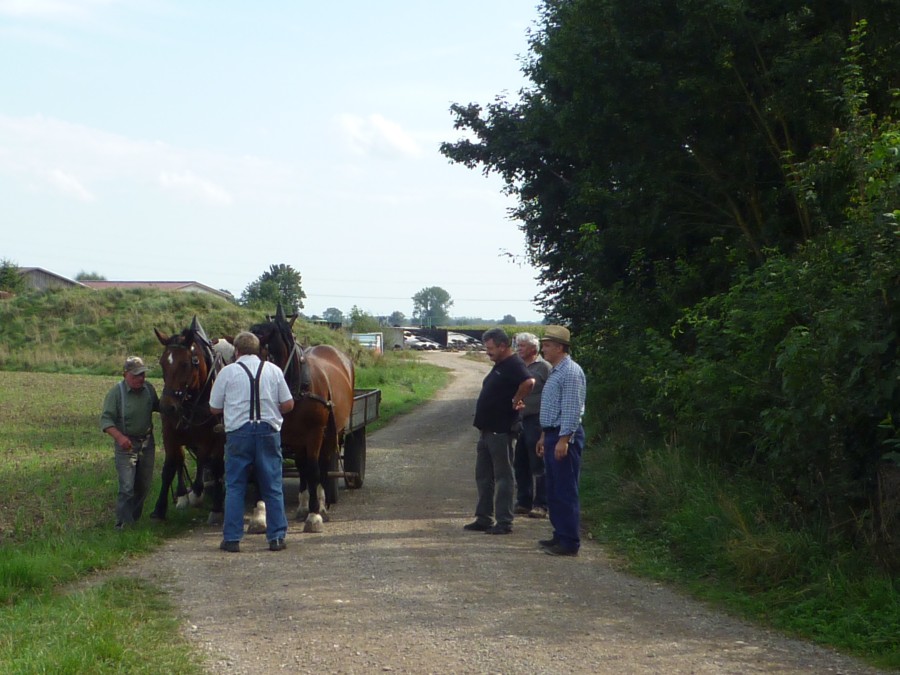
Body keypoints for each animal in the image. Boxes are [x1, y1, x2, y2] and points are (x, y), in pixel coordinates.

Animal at [151, 316, 226, 524]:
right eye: (162, 363)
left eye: (185, 364)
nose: (166, 407)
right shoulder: (171, 434)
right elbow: (170, 466)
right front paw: (160, 508)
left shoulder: (215, 437)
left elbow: (211, 463)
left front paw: (213, 503)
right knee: (183, 460)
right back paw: (184, 494)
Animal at [250, 305, 355, 533]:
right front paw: (260, 516)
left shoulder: (314, 433)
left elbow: (314, 470)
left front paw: (314, 515)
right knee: (302, 466)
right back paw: (303, 505)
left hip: (331, 432)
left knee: (322, 465)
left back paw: (321, 506)